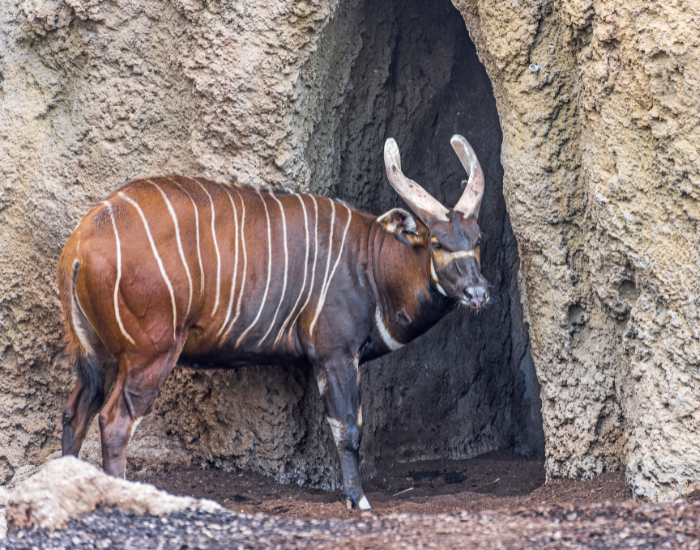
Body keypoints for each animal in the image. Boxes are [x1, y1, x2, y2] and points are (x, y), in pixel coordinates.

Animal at [58, 136, 489, 510]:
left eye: (478, 237)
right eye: (436, 242)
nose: (478, 291)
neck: (370, 262)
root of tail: (78, 244)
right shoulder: (335, 353)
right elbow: (348, 429)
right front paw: (358, 500)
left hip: (102, 354)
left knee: (75, 412)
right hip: (150, 352)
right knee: (114, 421)